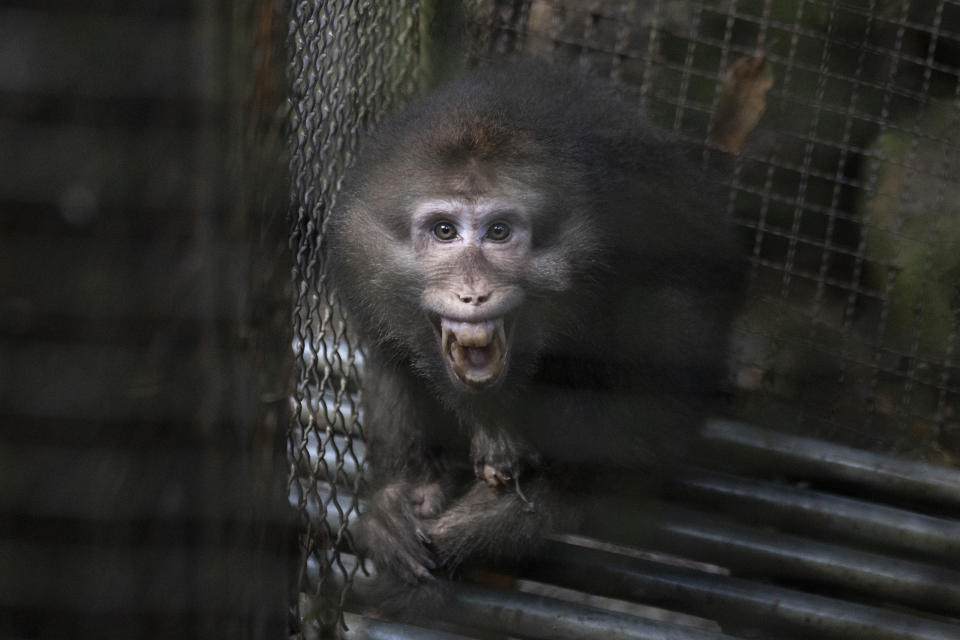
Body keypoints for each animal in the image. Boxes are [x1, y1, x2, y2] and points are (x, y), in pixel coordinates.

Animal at [322, 58, 744, 596]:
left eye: (499, 232)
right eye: (444, 231)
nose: (473, 292)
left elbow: (669, 362)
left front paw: (501, 514)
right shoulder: (364, 265)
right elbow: (388, 350)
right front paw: (411, 489)